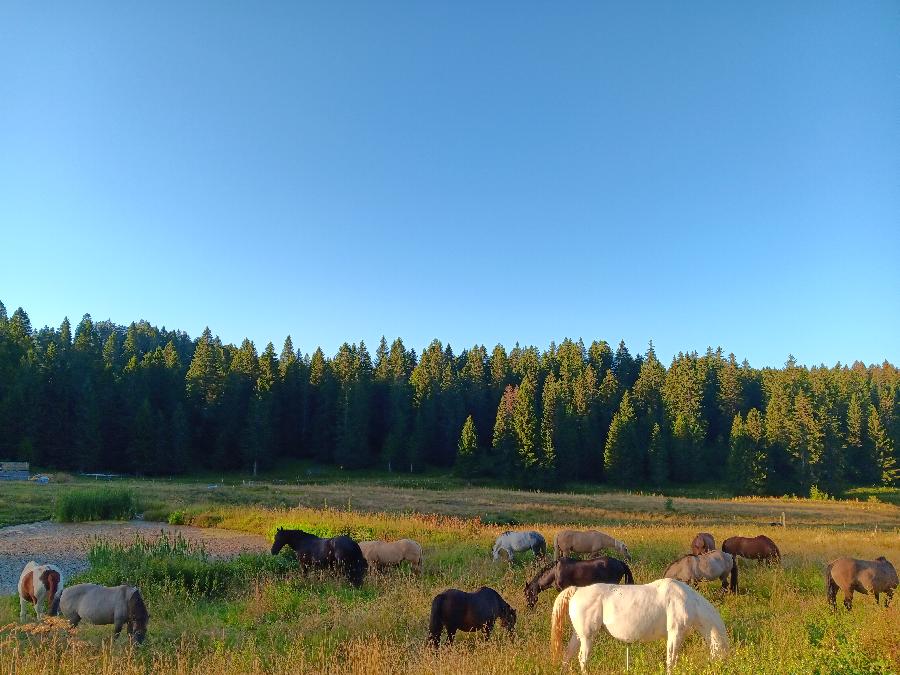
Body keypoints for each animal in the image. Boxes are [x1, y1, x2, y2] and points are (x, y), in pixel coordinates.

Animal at [551, 579, 729, 674]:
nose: (722, 668)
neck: (688, 600)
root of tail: (577, 590)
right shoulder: (675, 633)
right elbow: (671, 660)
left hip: (578, 636)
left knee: (568, 655)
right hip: (587, 637)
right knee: (582, 659)